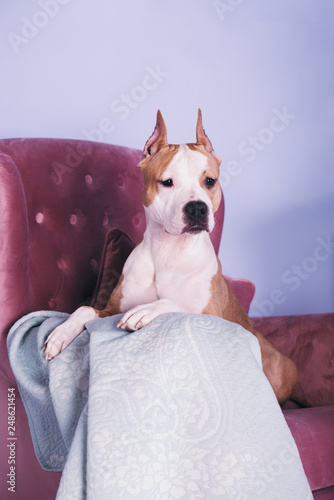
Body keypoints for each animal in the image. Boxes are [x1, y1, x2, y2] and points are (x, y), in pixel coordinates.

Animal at [44, 110, 298, 406]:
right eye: (167, 182)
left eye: (209, 181)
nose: (197, 208)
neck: (169, 251)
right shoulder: (109, 309)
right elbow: (85, 309)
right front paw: (60, 335)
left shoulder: (211, 316)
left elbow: (176, 304)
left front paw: (145, 311)